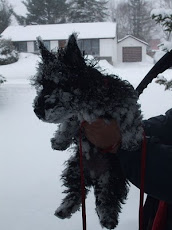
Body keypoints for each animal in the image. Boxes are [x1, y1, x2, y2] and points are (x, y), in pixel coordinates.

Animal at [32, 33, 142, 228]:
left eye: (58, 85)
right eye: (42, 84)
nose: (36, 111)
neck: (87, 103)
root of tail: (93, 174)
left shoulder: (125, 100)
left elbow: (129, 119)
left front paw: (132, 141)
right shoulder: (75, 117)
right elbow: (68, 123)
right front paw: (59, 141)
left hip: (111, 176)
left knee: (107, 198)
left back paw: (108, 219)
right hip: (76, 169)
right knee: (76, 193)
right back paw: (64, 210)